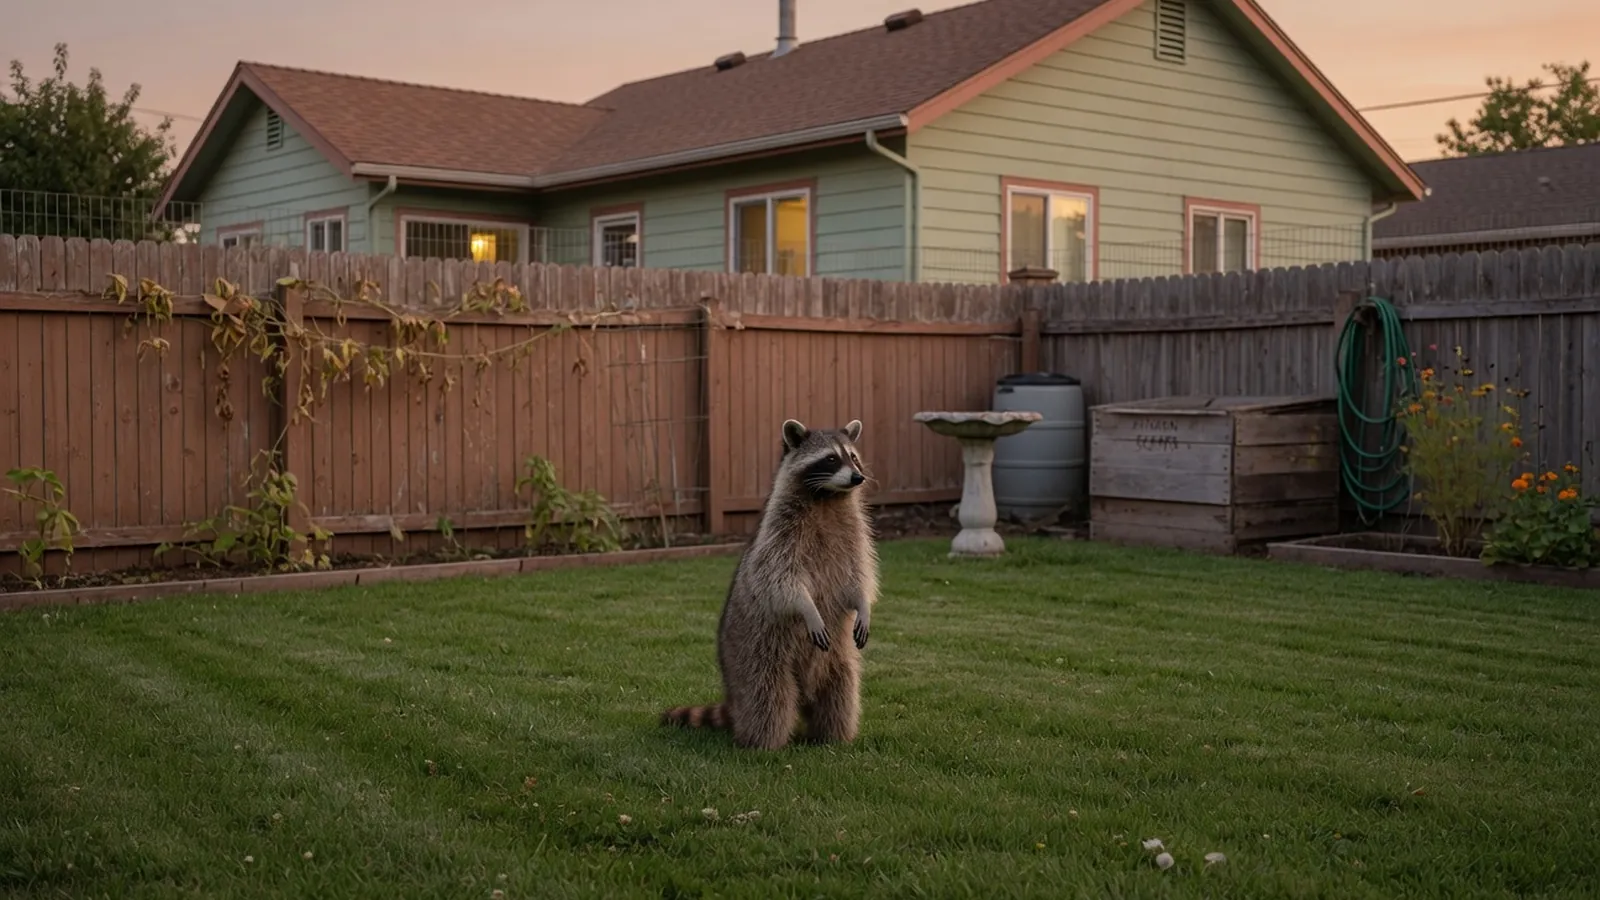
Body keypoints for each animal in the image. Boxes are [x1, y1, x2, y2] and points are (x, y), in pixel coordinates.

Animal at [661, 418, 880, 750]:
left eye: (853, 457)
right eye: (831, 458)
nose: (858, 477)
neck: (826, 497)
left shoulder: (854, 534)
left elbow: (858, 575)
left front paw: (863, 606)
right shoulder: (779, 533)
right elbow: (780, 579)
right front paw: (808, 608)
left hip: (837, 660)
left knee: (841, 693)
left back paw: (831, 737)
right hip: (757, 653)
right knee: (767, 697)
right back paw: (764, 743)